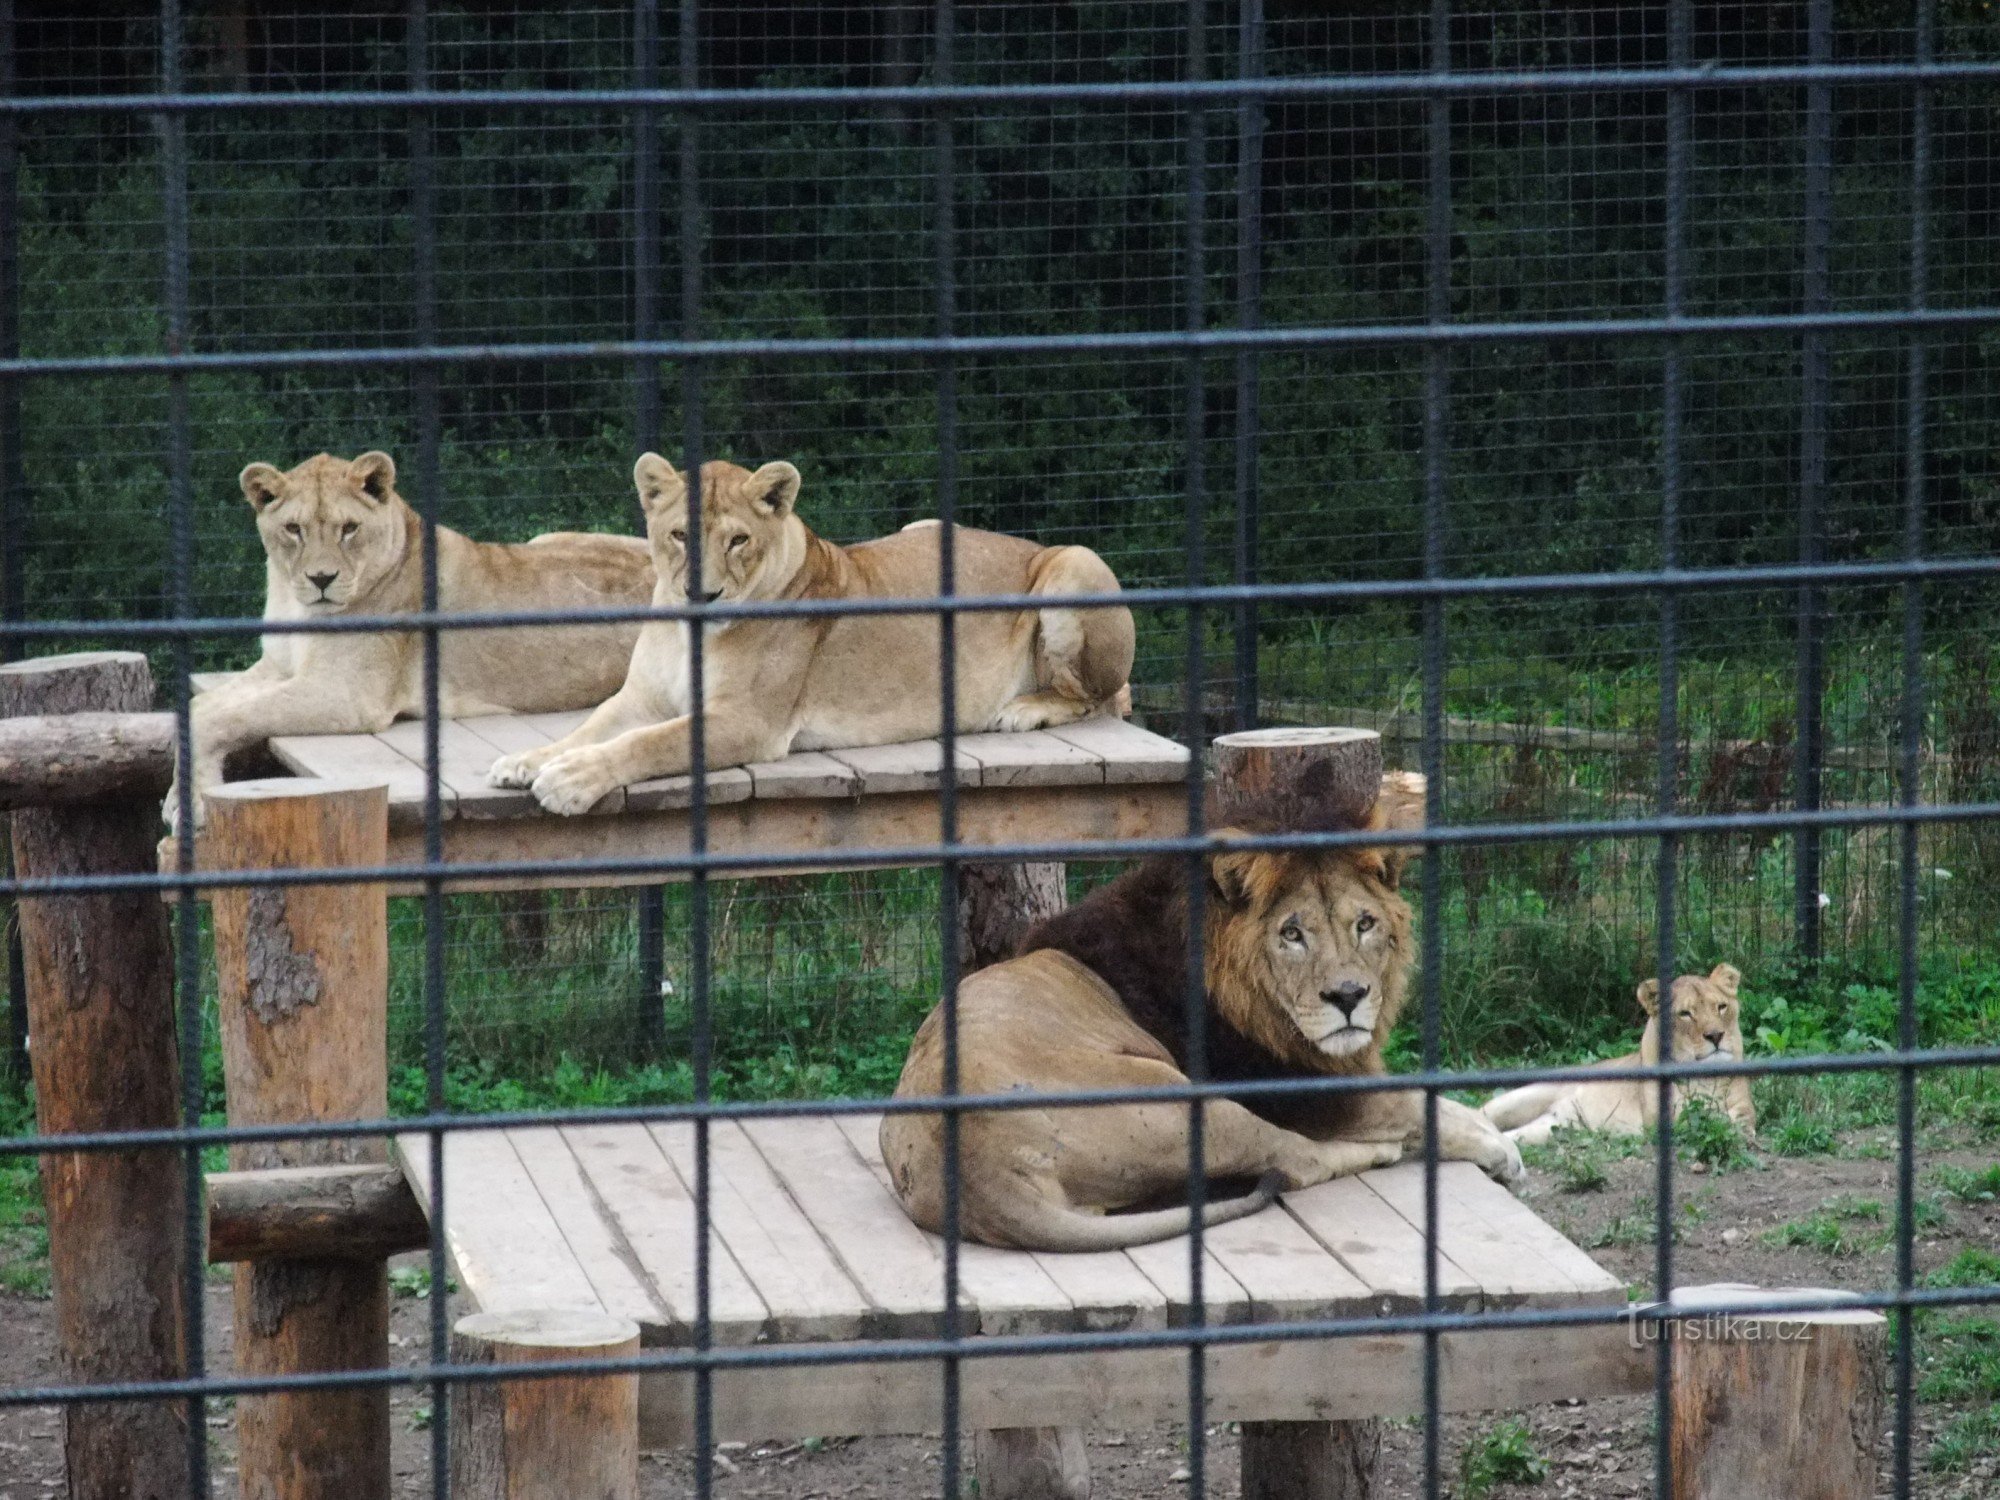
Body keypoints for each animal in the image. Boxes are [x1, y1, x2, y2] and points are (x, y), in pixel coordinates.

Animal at [166, 452, 648, 836]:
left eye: (349, 528)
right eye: (293, 529)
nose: (321, 579)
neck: (293, 601)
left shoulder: (348, 696)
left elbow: (222, 718)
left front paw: (188, 808)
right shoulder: (280, 668)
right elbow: (200, 707)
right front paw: (176, 797)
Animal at [486, 456, 1136, 816]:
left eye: (738, 540)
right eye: (678, 535)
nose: (703, 595)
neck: (688, 634)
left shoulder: (747, 721)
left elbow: (650, 744)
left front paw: (571, 780)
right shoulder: (640, 698)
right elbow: (589, 728)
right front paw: (524, 761)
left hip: (1075, 561)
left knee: (1102, 697)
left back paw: (1024, 710)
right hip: (929, 524)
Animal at [884, 804, 1520, 1248]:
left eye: (1364, 924)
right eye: (1292, 933)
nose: (1348, 997)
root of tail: (980, 1180)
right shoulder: (1297, 1090)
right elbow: (1411, 1103)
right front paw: (1497, 1148)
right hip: (1195, 1105)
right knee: (1295, 1161)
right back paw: (1380, 1153)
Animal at [1480, 964, 1760, 1152]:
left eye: (1721, 1007)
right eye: (1685, 1014)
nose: (1716, 1035)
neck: (1704, 1077)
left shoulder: (1743, 1106)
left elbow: (1742, 1120)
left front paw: (1738, 1133)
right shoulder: (1662, 1119)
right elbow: (1700, 1118)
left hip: (1553, 1130)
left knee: (1513, 1136)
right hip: (1522, 1098)